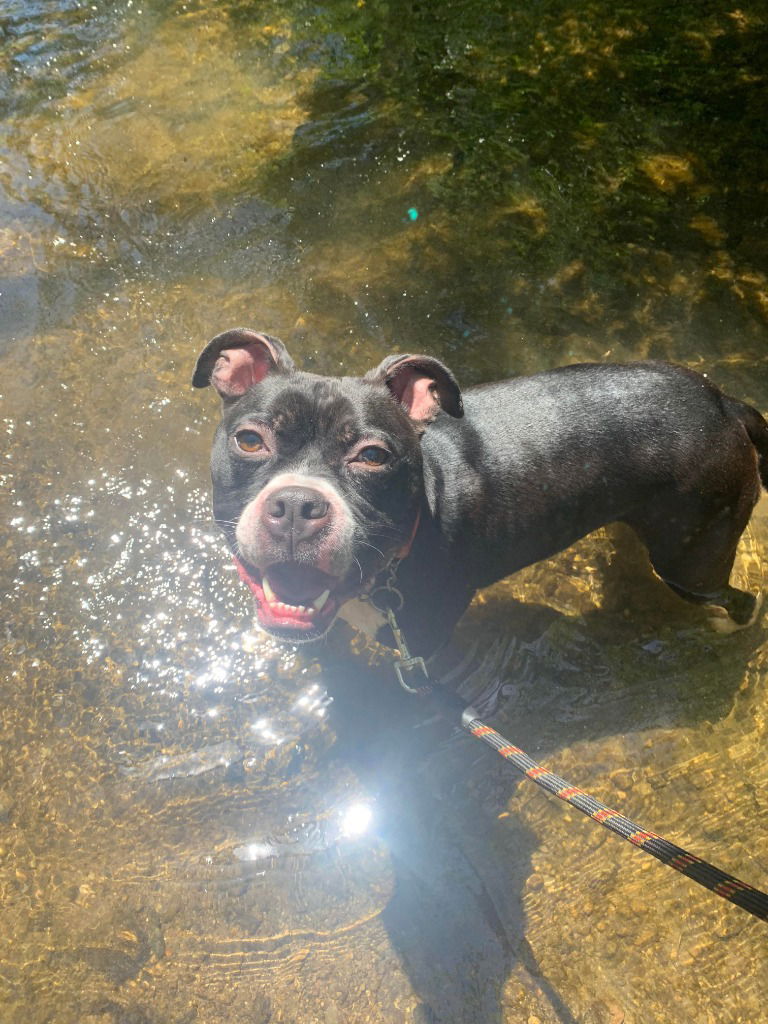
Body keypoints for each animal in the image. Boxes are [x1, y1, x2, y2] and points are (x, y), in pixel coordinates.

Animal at [193, 327, 768, 655]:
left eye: (374, 456)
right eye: (250, 440)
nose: (296, 504)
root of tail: (725, 404)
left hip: (692, 559)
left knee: (737, 599)